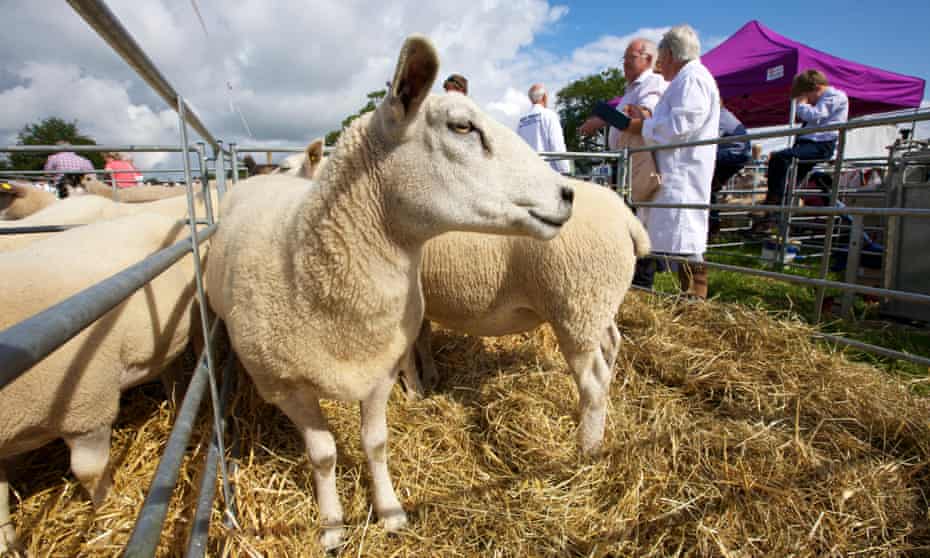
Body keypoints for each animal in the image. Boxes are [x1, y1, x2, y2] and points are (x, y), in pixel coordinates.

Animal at [0, 212, 198, 552]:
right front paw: (10, 546)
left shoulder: (85, 409)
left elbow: (89, 472)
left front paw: (108, 512)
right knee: (169, 370)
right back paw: (177, 400)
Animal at [206, 35, 572, 552]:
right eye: (462, 126)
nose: (568, 194)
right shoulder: (287, 386)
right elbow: (323, 455)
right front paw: (331, 526)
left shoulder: (381, 369)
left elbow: (375, 443)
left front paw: (390, 511)